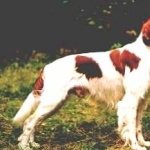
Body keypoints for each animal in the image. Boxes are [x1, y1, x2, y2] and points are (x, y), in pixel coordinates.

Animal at [12, 18, 150, 149]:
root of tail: (46, 68)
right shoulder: (130, 100)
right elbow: (131, 127)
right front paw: (136, 146)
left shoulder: (141, 101)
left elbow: (138, 125)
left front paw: (143, 143)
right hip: (51, 102)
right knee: (29, 122)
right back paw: (24, 146)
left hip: (54, 104)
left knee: (35, 122)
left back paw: (33, 144)